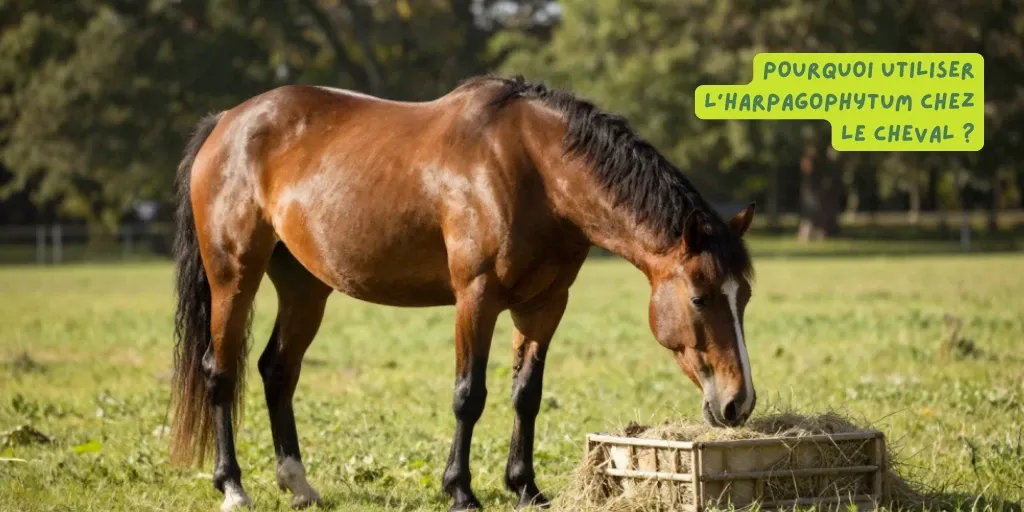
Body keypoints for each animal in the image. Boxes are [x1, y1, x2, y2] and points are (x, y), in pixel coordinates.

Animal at [170, 75, 757, 512]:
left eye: (745, 297)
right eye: (700, 298)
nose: (738, 403)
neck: (534, 169)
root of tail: (227, 121)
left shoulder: (545, 305)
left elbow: (527, 395)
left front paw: (525, 487)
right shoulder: (476, 298)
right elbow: (468, 395)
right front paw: (461, 490)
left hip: (305, 287)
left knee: (278, 370)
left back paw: (298, 484)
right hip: (233, 276)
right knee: (220, 371)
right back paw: (232, 487)